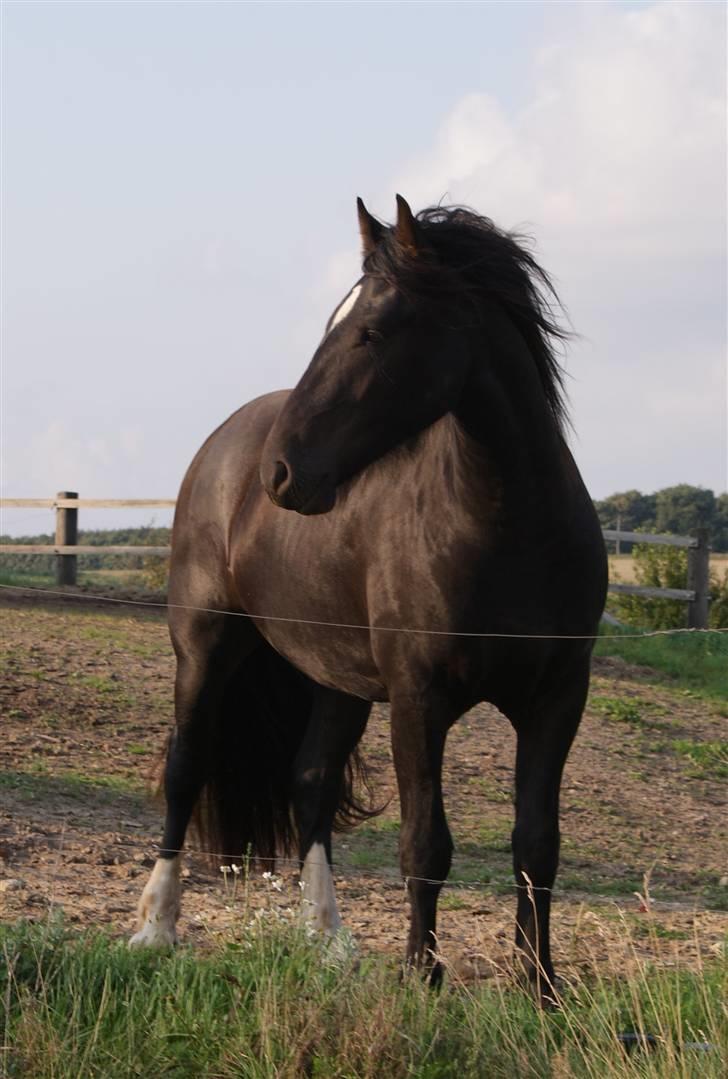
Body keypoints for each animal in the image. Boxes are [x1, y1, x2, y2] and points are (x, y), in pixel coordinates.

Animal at [132, 196, 608, 1001]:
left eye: (374, 331)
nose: (282, 472)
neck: (507, 525)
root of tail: (225, 443)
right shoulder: (419, 699)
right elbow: (425, 842)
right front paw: (422, 975)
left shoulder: (557, 698)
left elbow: (537, 844)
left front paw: (541, 986)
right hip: (205, 647)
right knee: (184, 769)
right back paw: (156, 929)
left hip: (337, 679)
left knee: (311, 784)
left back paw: (327, 941)